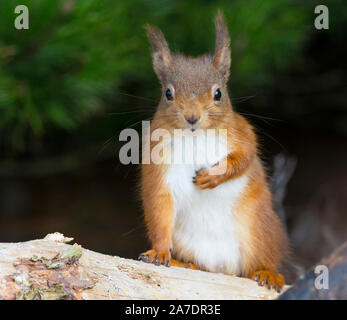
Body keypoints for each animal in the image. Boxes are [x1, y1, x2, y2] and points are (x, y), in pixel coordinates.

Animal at [140, 11, 290, 292]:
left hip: (260, 230)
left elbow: (245, 156)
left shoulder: (241, 132)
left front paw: (212, 177)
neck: (195, 137)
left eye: (218, 93)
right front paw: (159, 252)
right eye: (168, 93)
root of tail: (223, 267)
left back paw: (268, 273)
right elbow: (159, 203)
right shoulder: (156, 158)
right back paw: (183, 264)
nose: (192, 117)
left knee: (262, 261)